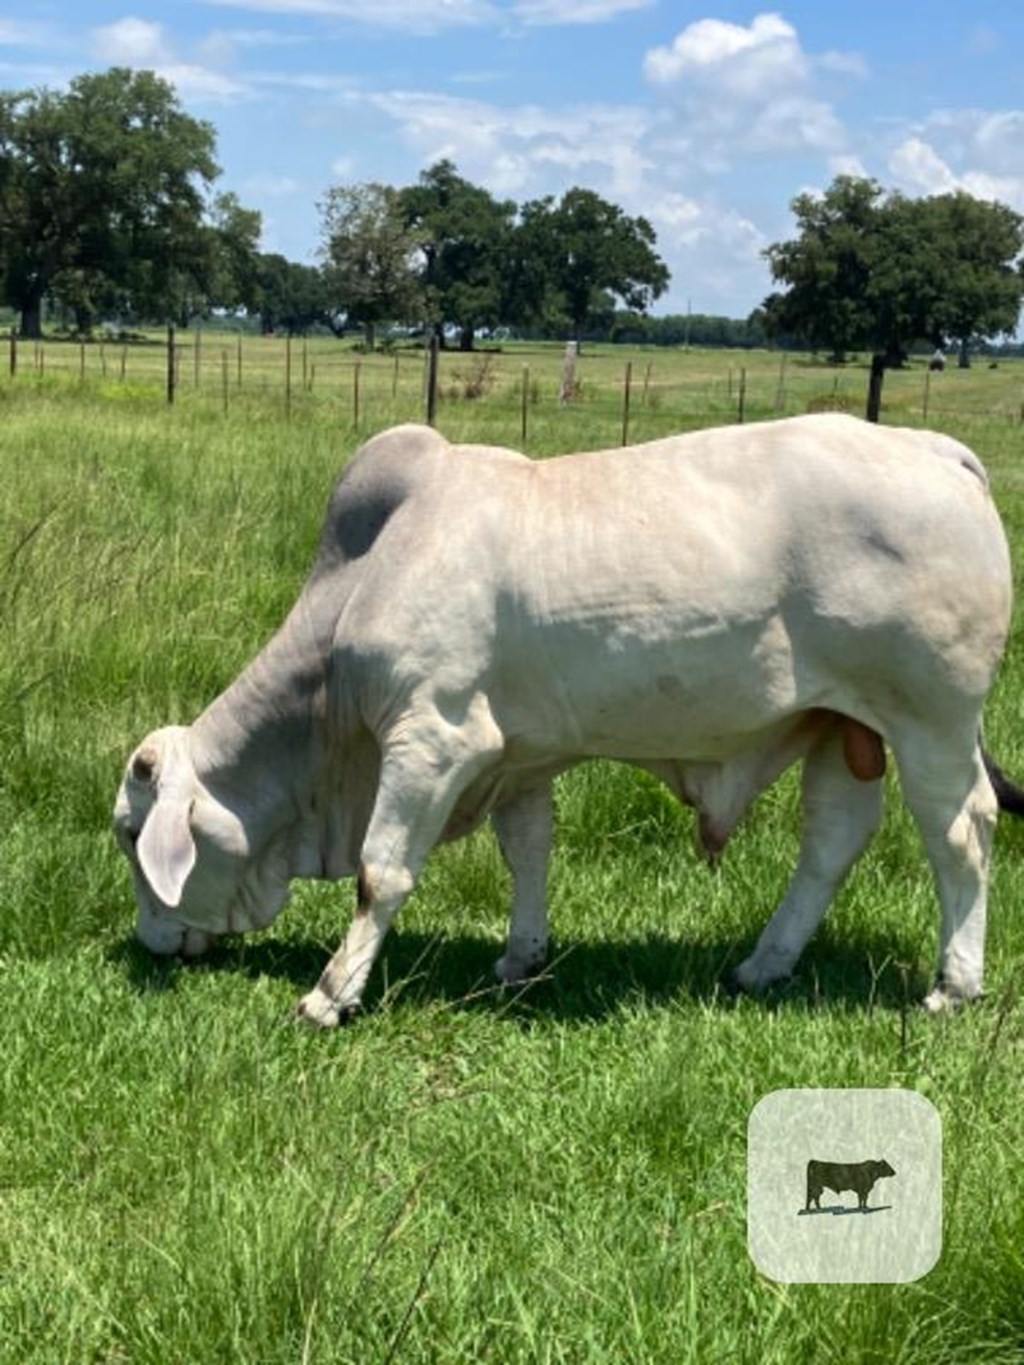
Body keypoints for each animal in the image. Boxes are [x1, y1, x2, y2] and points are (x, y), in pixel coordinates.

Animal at [114, 414, 1021, 1026]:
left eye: (130, 835)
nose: (151, 942)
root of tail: (936, 448)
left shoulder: (432, 737)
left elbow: (382, 871)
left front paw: (331, 993)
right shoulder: (517, 756)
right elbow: (528, 854)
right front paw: (521, 956)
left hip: (931, 721)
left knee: (962, 834)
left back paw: (954, 983)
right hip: (840, 725)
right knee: (833, 841)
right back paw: (763, 963)